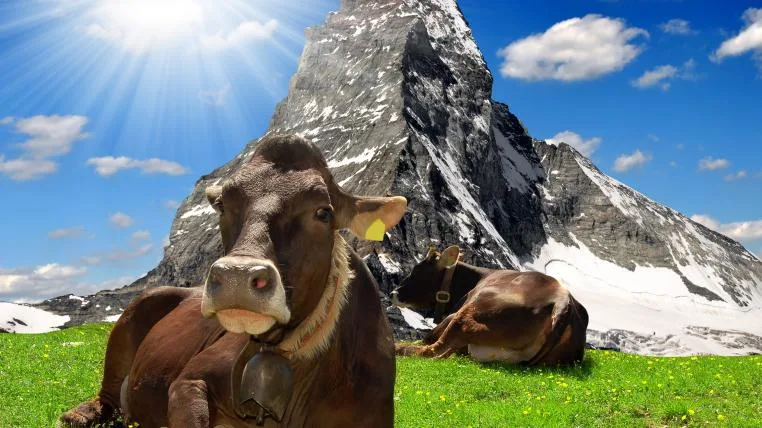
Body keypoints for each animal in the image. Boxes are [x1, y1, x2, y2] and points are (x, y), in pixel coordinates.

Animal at [60, 134, 407, 428]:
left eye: (323, 212)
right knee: (109, 395)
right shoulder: (188, 381)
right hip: (135, 313)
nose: (236, 277)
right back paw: (79, 414)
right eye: (223, 206)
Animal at [391, 245, 588, 366]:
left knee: (430, 351)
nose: (393, 293)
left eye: (416, 270)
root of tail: (562, 299)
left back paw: (397, 347)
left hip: (470, 314)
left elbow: (427, 337)